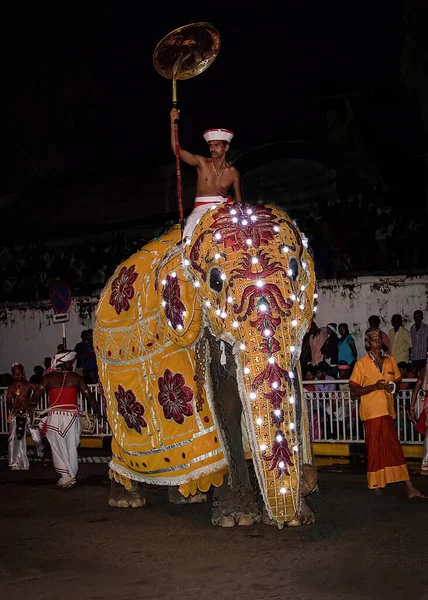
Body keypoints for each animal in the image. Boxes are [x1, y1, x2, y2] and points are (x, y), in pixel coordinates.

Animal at [95, 204, 320, 528]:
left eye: (294, 271)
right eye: (215, 281)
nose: (309, 480)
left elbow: (294, 395)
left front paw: (297, 519)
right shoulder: (205, 329)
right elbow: (226, 401)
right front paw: (236, 519)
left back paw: (189, 498)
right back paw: (126, 499)